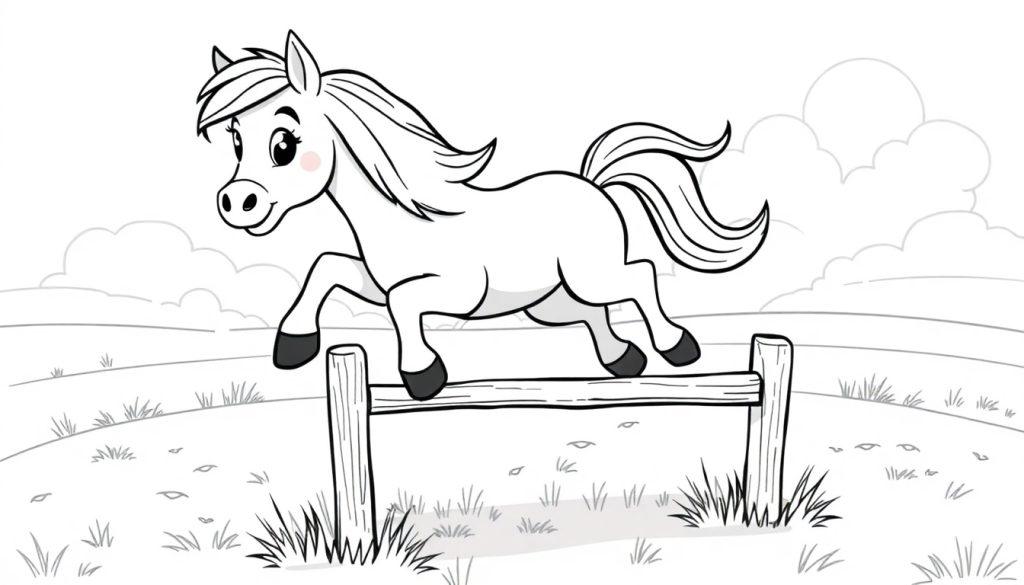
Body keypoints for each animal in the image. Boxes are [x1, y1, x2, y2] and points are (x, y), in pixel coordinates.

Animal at [196, 31, 769, 401]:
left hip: (592, 274)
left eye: (284, 143)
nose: (235, 203)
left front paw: (423, 374)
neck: (405, 217)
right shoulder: (370, 280)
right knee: (595, 315)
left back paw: (677, 347)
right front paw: (293, 345)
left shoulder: (454, 291)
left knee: (641, 277)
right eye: (236, 140)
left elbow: (403, 304)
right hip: (551, 302)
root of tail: (594, 186)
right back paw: (623, 359)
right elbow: (326, 268)